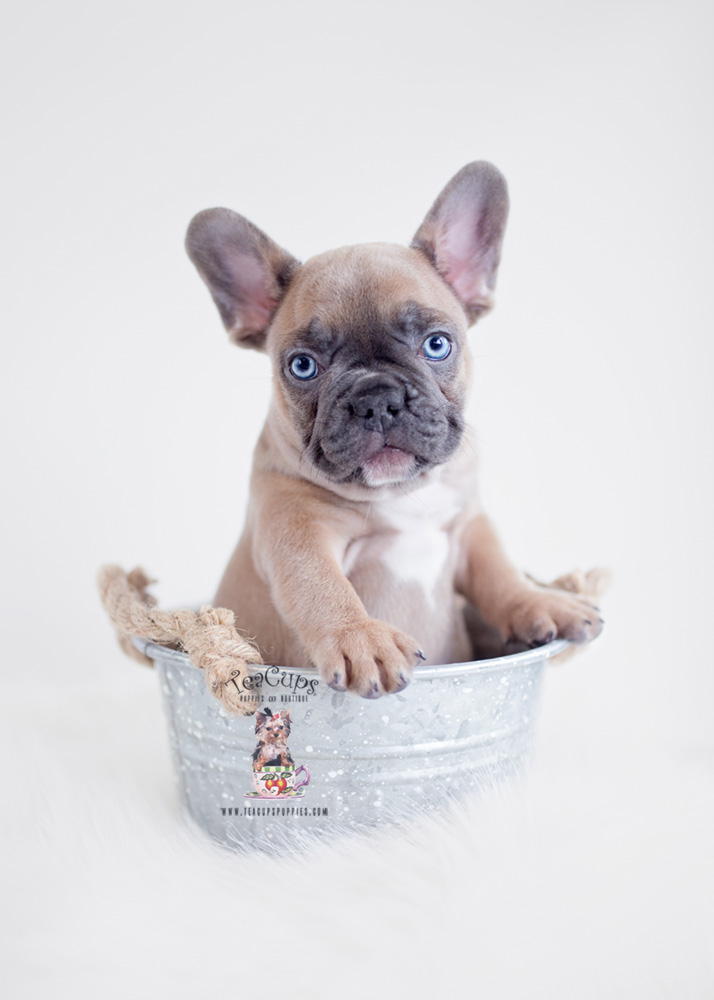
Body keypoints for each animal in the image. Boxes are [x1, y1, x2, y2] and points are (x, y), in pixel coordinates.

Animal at [185, 162, 600, 696]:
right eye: (303, 366)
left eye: (437, 344)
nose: (375, 398)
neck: (402, 495)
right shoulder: (293, 529)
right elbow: (320, 585)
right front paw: (361, 637)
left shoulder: (469, 526)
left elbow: (499, 570)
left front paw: (539, 602)